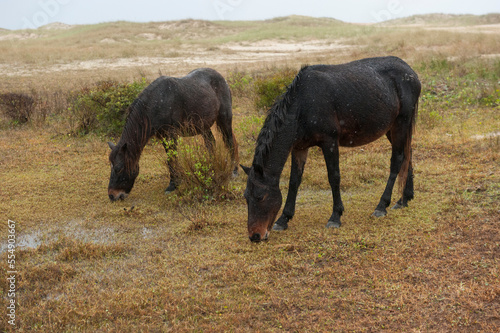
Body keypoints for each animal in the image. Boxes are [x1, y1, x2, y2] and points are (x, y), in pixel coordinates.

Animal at [107, 67, 238, 200]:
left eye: (118, 168)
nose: (112, 195)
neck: (156, 103)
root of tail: (221, 78)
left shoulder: (171, 135)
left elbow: (171, 158)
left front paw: (173, 184)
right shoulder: (163, 137)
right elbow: (171, 158)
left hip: (224, 119)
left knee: (230, 142)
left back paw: (234, 171)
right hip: (204, 126)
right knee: (211, 143)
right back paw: (211, 167)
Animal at [242, 57, 422, 241]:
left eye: (260, 196)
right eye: (246, 198)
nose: (255, 236)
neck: (303, 104)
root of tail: (410, 71)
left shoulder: (330, 142)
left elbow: (333, 177)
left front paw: (335, 216)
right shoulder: (299, 148)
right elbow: (294, 181)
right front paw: (284, 219)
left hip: (401, 123)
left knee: (397, 160)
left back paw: (382, 206)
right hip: (391, 128)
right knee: (407, 155)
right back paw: (404, 199)